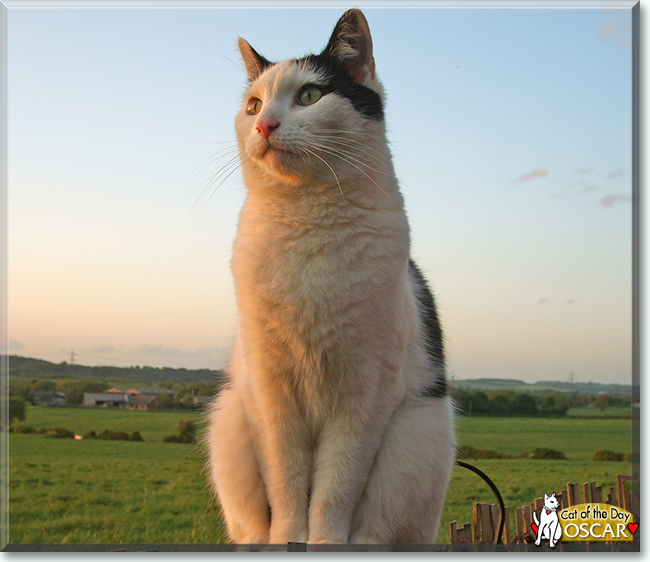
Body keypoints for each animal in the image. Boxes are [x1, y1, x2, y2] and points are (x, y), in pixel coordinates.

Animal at [205, 8, 454, 544]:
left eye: (310, 96)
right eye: (253, 105)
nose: (265, 125)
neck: (308, 225)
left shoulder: (364, 395)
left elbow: (336, 486)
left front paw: (324, 542)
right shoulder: (271, 392)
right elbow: (286, 481)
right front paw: (288, 539)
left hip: (416, 440)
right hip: (229, 426)